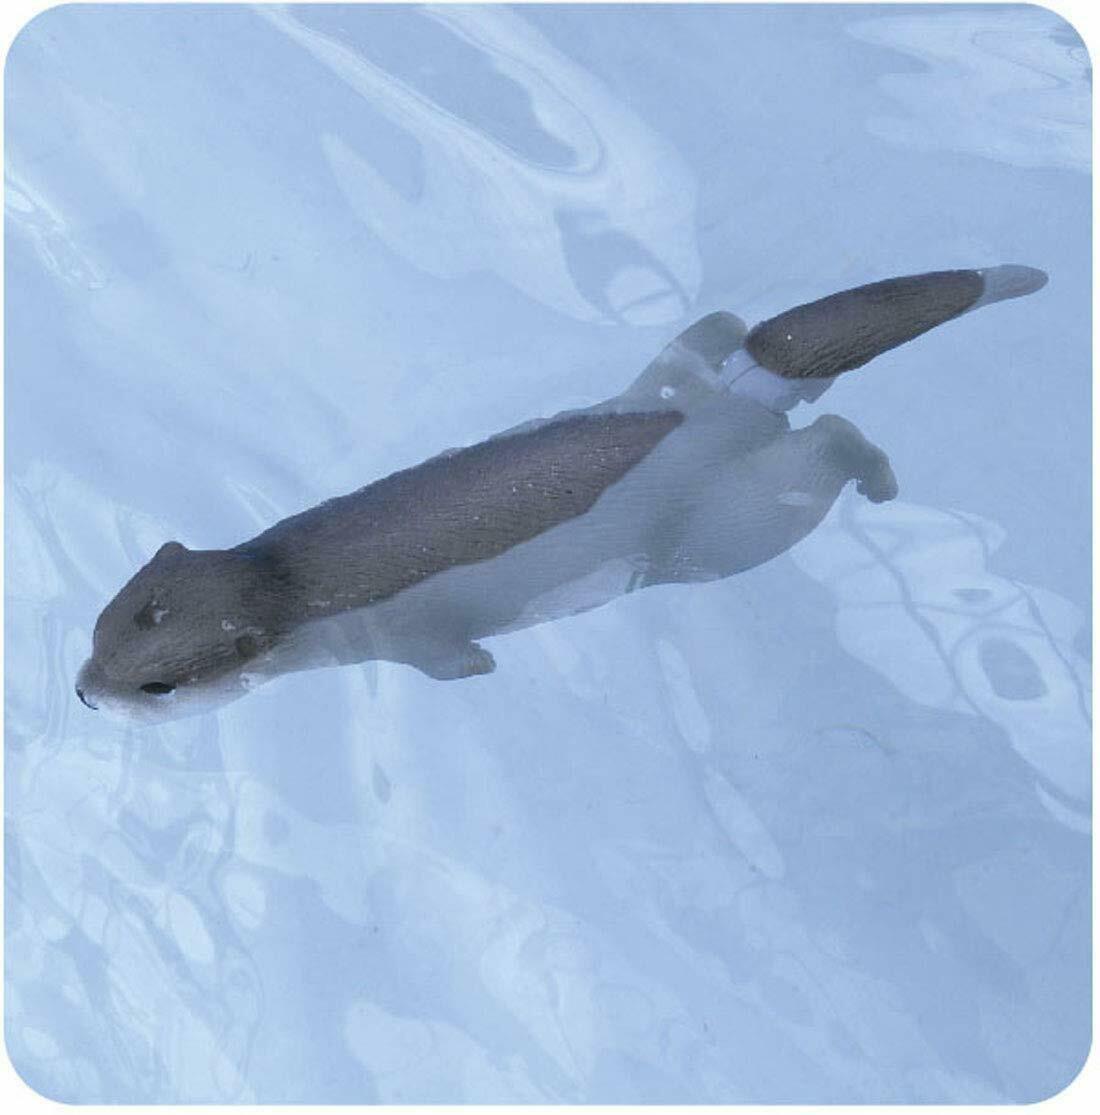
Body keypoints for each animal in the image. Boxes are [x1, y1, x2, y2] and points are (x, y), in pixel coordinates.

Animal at [76, 265, 1047, 723]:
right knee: (722, 329)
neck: (296, 582)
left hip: (719, 530)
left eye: (158, 685)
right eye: (102, 631)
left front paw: (478, 670)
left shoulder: (408, 634)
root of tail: (731, 398)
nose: (86, 693)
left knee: (829, 446)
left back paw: (880, 478)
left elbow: (452, 660)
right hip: (681, 368)